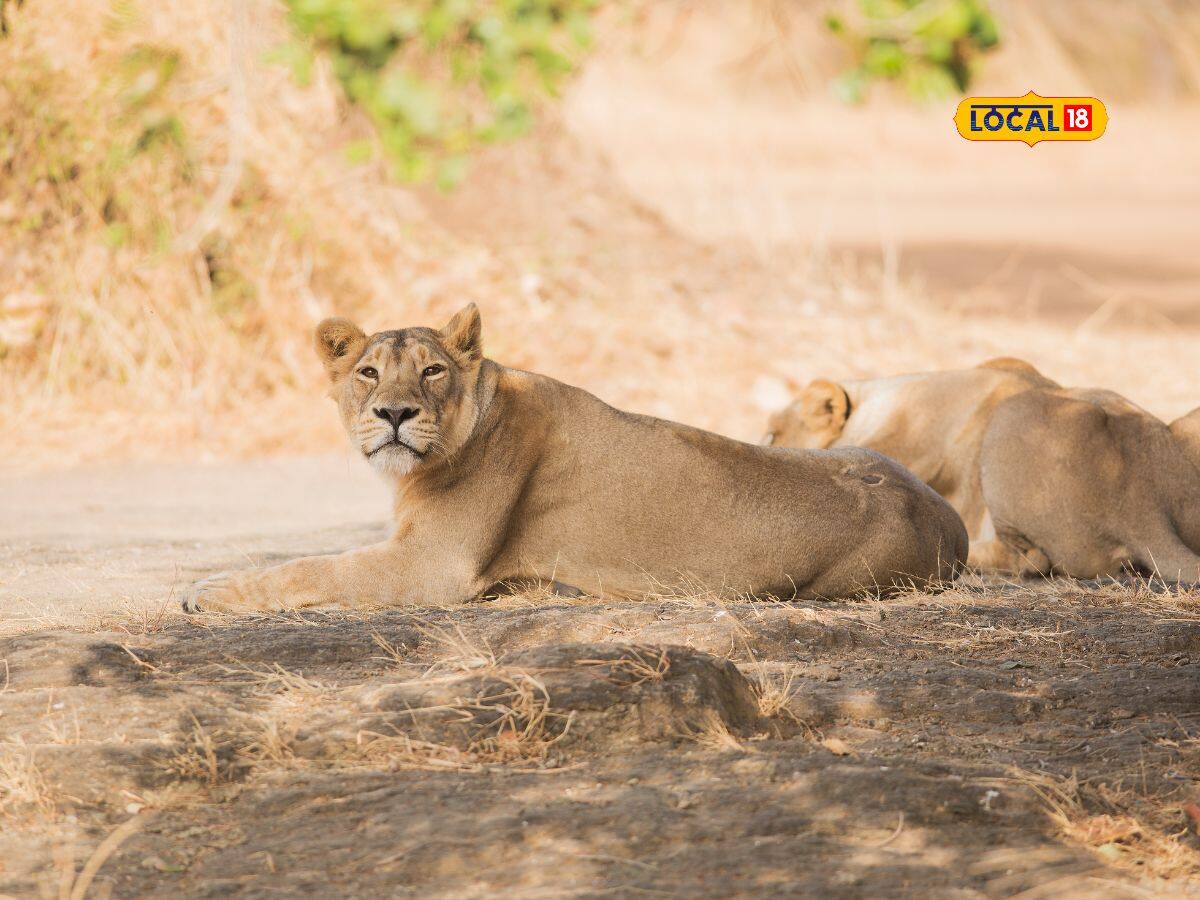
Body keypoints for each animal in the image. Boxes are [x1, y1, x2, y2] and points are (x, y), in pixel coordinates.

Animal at [183, 304, 967, 612]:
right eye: (369, 374)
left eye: (432, 371)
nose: (395, 415)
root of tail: (951, 521)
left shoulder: (431, 565)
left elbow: (307, 568)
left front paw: (207, 591)